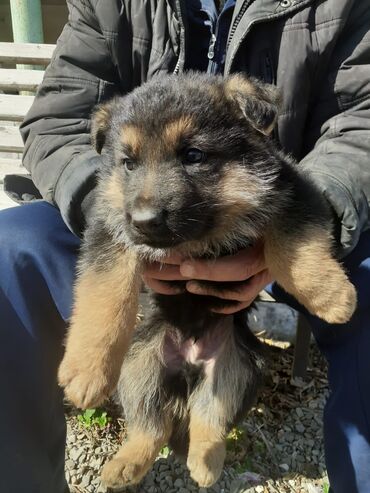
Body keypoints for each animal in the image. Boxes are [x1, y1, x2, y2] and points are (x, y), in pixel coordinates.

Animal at [57, 72, 356, 488]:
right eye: (128, 163)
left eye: (193, 156)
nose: (145, 222)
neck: (198, 237)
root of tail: (190, 366)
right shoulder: (111, 230)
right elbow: (104, 295)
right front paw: (86, 373)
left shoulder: (294, 191)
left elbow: (293, 243)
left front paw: (331, 295)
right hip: (139, 365)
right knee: (151, 424)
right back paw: (127, 463)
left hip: (237, 370)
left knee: (209, 416)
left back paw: (205, 462)